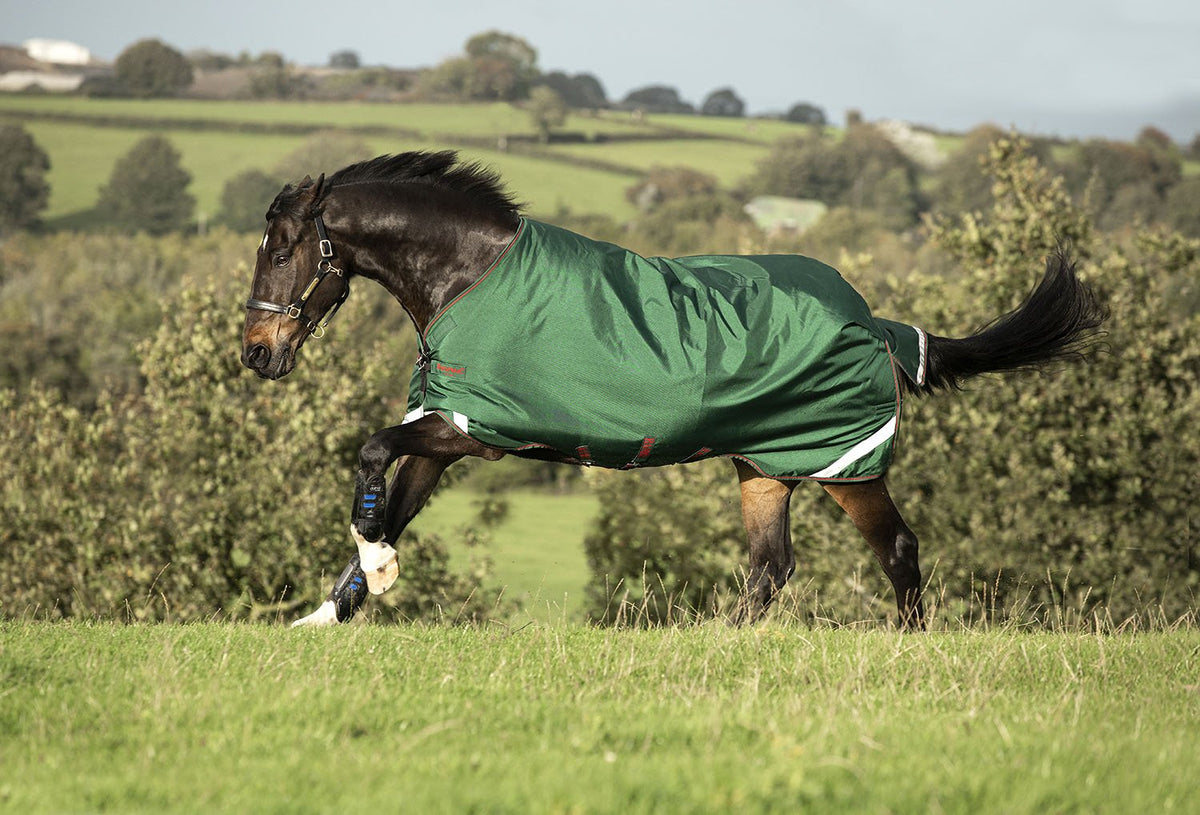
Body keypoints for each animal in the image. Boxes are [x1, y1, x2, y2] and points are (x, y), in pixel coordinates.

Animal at [241, 150, 1106, 630]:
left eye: (282, 252)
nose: (256, 352)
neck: (470, 276)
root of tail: (875, 322)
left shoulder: (468, 430)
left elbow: (370, 455)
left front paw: (375, 573)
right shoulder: (447, 431)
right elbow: (392, 508)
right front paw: (326, 614)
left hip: (846, 466)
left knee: (896, 549)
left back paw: (906, 646)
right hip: (764, 468)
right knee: (769, 569)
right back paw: (718, 641)